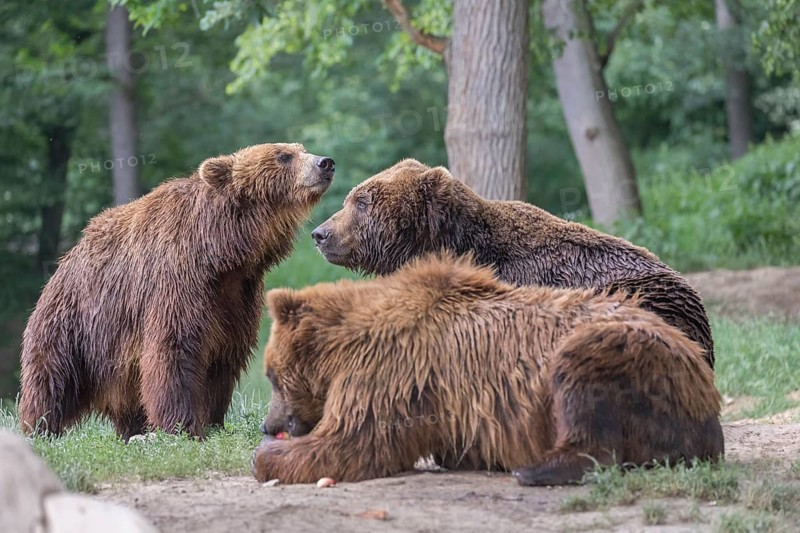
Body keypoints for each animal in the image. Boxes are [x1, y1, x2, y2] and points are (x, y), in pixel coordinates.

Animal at [19, 143, 335, 440]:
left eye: (301, 149)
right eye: (283, 156)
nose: (325, 163)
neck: (222, 252)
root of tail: (63, 262)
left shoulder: (237, 297)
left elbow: (222, 359)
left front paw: (212, 420)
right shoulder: (177, 283)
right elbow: (174, 349)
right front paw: (182, 425)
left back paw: (131, 428)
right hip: (76, 325)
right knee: (51, 377)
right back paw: (40, 426)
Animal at [252, 253, 723, 485]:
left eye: (272, 376)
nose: (266, 424)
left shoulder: (391, 369)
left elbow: (354, 442)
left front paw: (268, 457)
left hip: (627, 355)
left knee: (584, 388)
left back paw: (536, 469)